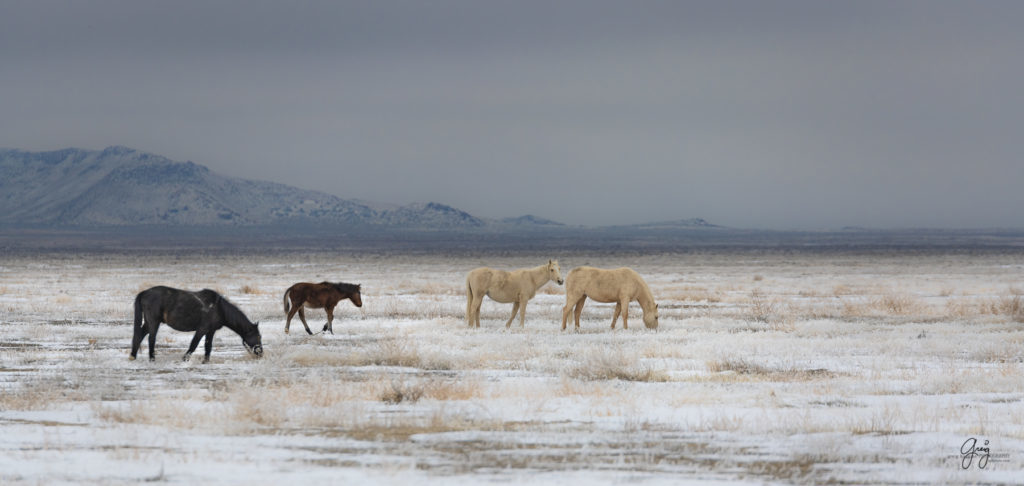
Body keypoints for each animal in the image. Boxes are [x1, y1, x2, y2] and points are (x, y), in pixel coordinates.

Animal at [132, 286, 264, 364]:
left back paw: (133, 356)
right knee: (151, 339)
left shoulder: (211, 331)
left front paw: (205, 361)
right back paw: (152, 359)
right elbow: (194, 344)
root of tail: (144, 293)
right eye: (258, 336)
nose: (260, 354)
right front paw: (185, 359)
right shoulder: (202, 329)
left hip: (148, 323)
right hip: (154, 322)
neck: (219, 308)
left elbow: (208, 346)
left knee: (139, 336)